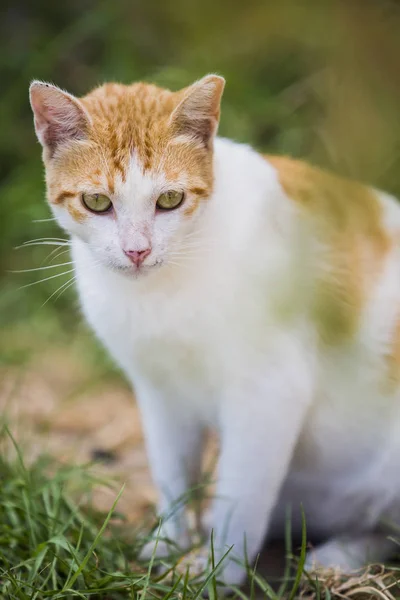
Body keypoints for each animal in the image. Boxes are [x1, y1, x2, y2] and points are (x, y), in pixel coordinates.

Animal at [29, 74, 400, 584]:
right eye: (97, 202)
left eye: (170, 200)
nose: (137, 251)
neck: (161, 295)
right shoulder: (159, 392)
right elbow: (172, 472)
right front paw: (168, 543)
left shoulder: (268, 392)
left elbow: (241, 495)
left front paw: (216, 569)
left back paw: (337, 556)